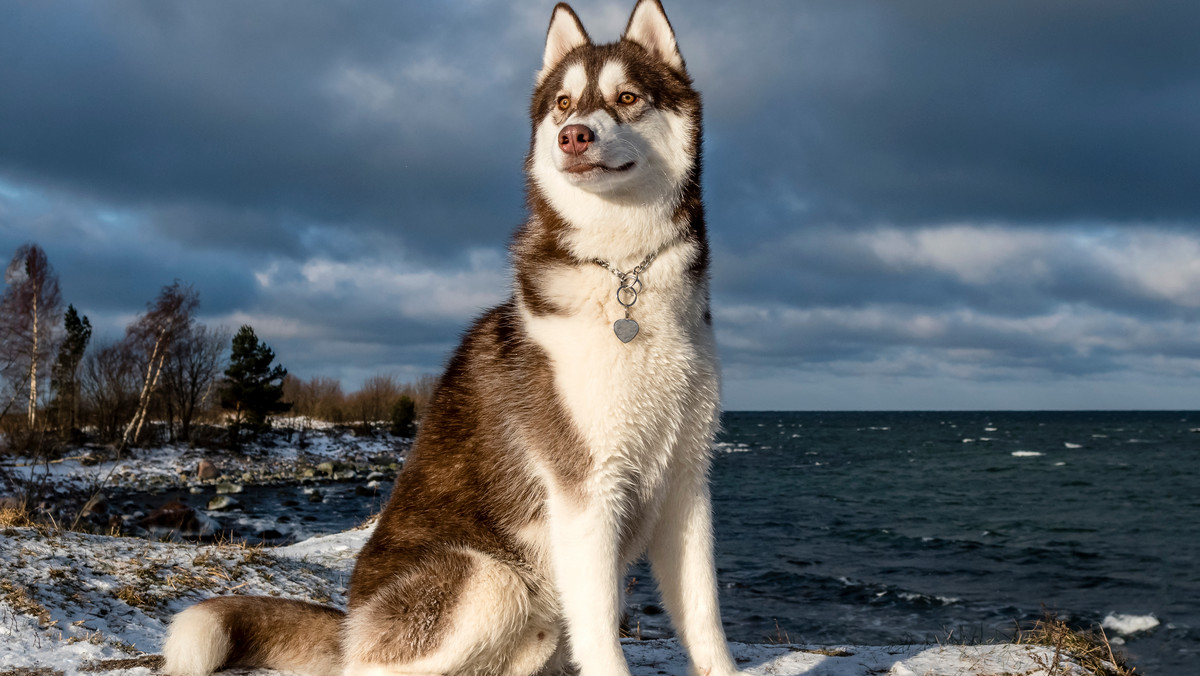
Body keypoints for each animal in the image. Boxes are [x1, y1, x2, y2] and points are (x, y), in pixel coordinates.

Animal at [163, 1, 734, 676]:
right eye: (564, 104)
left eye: (627, 97)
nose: (573, 136)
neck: (622, 276)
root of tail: (351, 623)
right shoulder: (587, 493)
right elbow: (603, 640)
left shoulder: (685, 488)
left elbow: (705, 622)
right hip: (489, 579)